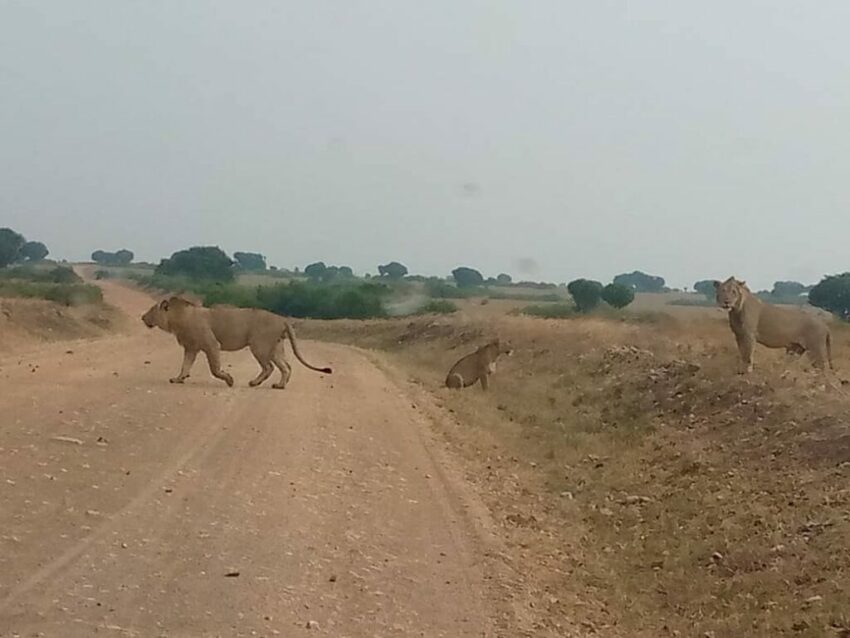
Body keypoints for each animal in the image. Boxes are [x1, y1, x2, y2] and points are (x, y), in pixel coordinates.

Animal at [141, 296, 332, 388]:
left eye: (151, 310)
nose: (142, 317)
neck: (178, 318)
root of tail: (282, 319)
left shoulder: (212, 345)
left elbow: (215, 369)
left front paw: (229, 380)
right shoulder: (191, 348)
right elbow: (185, 366)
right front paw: (178, 379)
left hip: (259, 346)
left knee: (269, 367)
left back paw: (255, 383)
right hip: (275, 348)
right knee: (286, 367)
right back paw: (279, 385)